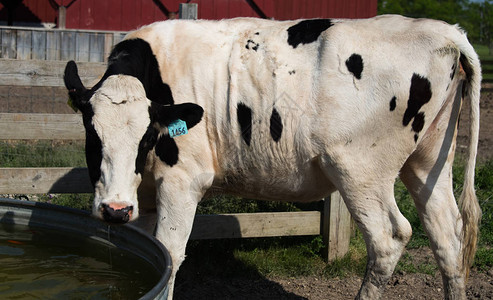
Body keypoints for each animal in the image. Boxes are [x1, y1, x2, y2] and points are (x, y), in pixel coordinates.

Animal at [62, 15, 480, 298]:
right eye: (91, 135)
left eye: (147, 136)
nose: (114, 209)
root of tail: (444, 31)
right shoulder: (144, 191)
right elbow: (149, 254)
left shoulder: (182, 179)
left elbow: (170, 253)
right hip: (427, 162)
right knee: (448, 236)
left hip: (359, 171)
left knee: (389, 238)